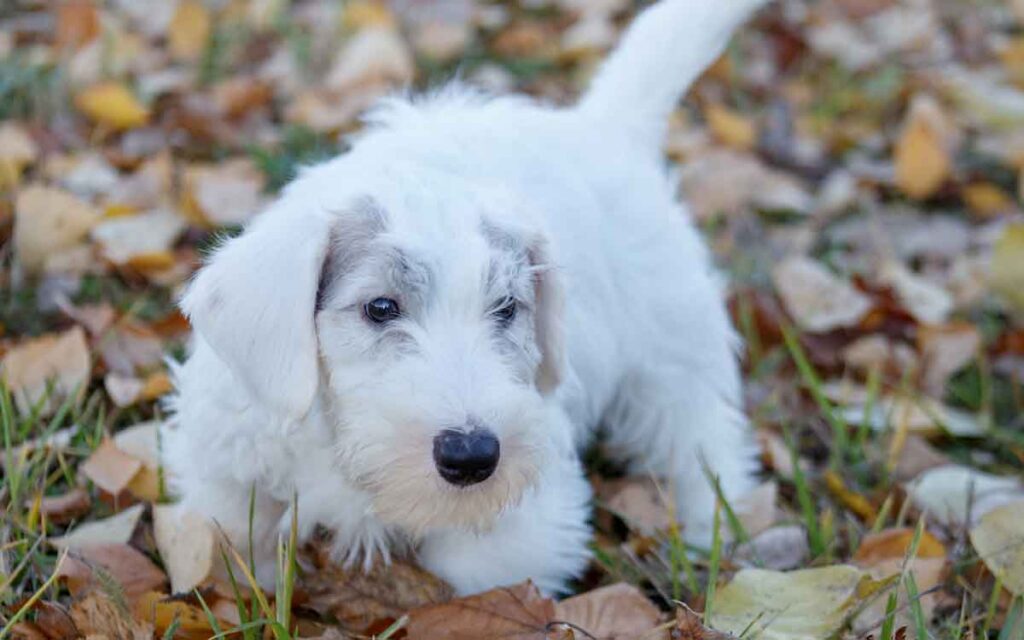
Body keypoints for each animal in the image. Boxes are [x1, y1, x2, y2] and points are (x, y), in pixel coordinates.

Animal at [161, 0, 761, 593]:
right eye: (380, 308)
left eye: (506, 308)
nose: (471, 456)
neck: (334, 444)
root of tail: (602, 128)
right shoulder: (226, 466)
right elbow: (233, 538)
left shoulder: (517, 528)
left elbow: (471, 575)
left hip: (674, 352)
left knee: (700, 440)